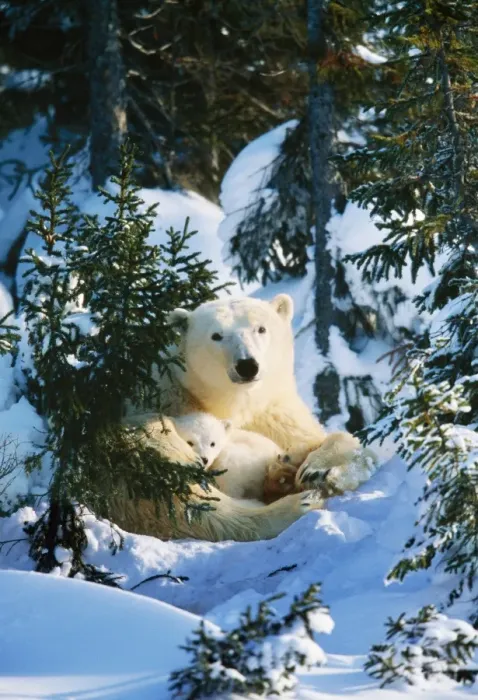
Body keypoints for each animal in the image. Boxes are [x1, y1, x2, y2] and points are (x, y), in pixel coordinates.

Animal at [119, 293, 378, 542]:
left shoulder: (271, 413)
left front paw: (318, 470)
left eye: (261, 328)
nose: (247, 365)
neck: (232, 403)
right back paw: (295, 504)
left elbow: (318, 439)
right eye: (216, 335)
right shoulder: (161, 399)